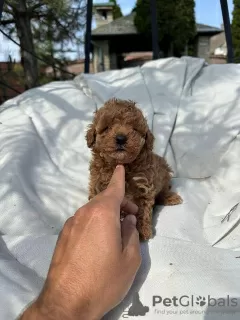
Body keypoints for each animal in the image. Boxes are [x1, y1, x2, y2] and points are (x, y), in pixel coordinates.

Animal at [86, 97, 182, 240]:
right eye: (107, 128)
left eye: (135, 129)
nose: (121, 138)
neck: (123, 165)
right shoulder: (97, 183)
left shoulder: (144, 185)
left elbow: (143, 209)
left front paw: (142, 231)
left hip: (164, 174)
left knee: (163, 191)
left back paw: (170, 197)